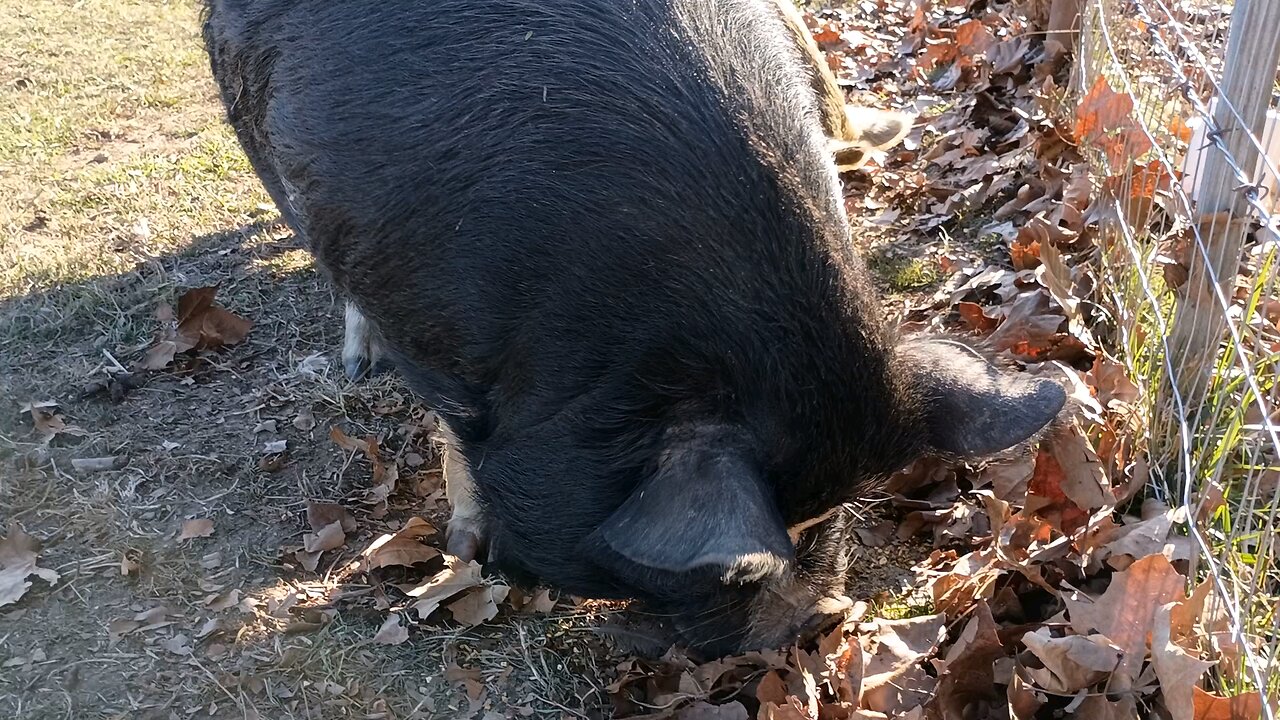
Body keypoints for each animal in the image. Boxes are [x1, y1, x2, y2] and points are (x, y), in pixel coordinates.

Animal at [204, 0, 1064, 650]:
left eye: (831, 508)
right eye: (738, 566)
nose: (820, 622)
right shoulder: (443, 342)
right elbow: (454, 442)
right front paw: (465, 554)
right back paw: (357, 365)